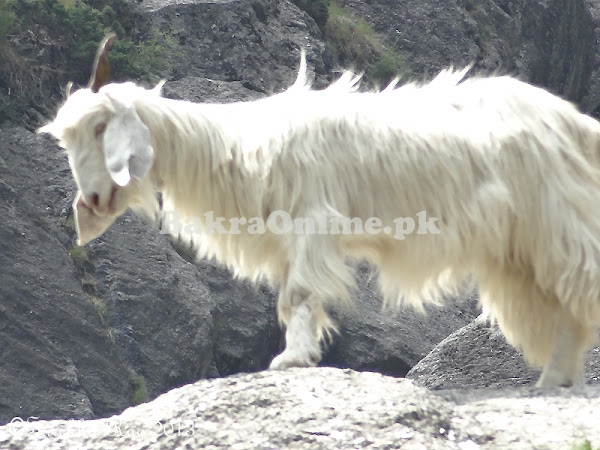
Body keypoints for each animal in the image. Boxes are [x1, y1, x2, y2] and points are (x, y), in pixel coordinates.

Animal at [38, 34, 600, 386]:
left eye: (99, 127)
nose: (90, 201)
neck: (236, 145)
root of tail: (575, 123)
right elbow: (290, 299)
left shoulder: (312, 220)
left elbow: (302, 295)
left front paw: (292, 359)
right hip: (521, 252)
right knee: (560, 314)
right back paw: (553, 382)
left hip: (560, 226)